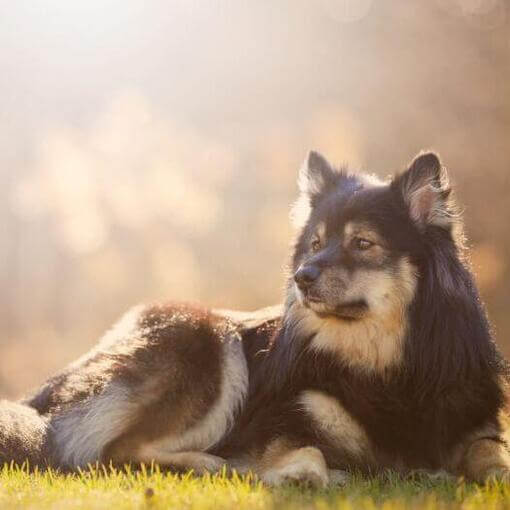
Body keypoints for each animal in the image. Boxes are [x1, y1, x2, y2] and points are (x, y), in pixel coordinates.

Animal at [0, 148, 510, 486]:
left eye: (362, 243)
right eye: (315, 243)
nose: (302, 277)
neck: (385, 366)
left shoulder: (475, 419)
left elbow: (489, 448)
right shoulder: (281, 416)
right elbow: (302, 445)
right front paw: (303, 474)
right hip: (203, 336)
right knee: (113, 452)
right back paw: (212, 466)